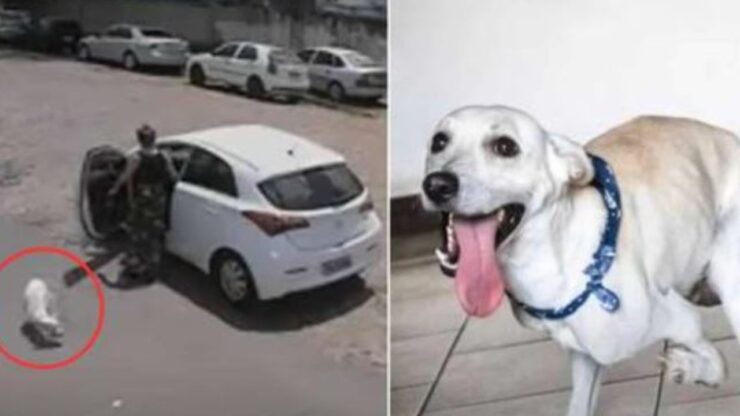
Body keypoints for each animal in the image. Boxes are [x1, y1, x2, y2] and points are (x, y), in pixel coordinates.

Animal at [422, 105, 740, 416]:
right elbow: (579, 405)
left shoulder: (681, 319)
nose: (436, 185)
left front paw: (691, 368)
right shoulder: (586, 356)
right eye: (439, 141)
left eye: (505, 146)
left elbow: (719, 364)